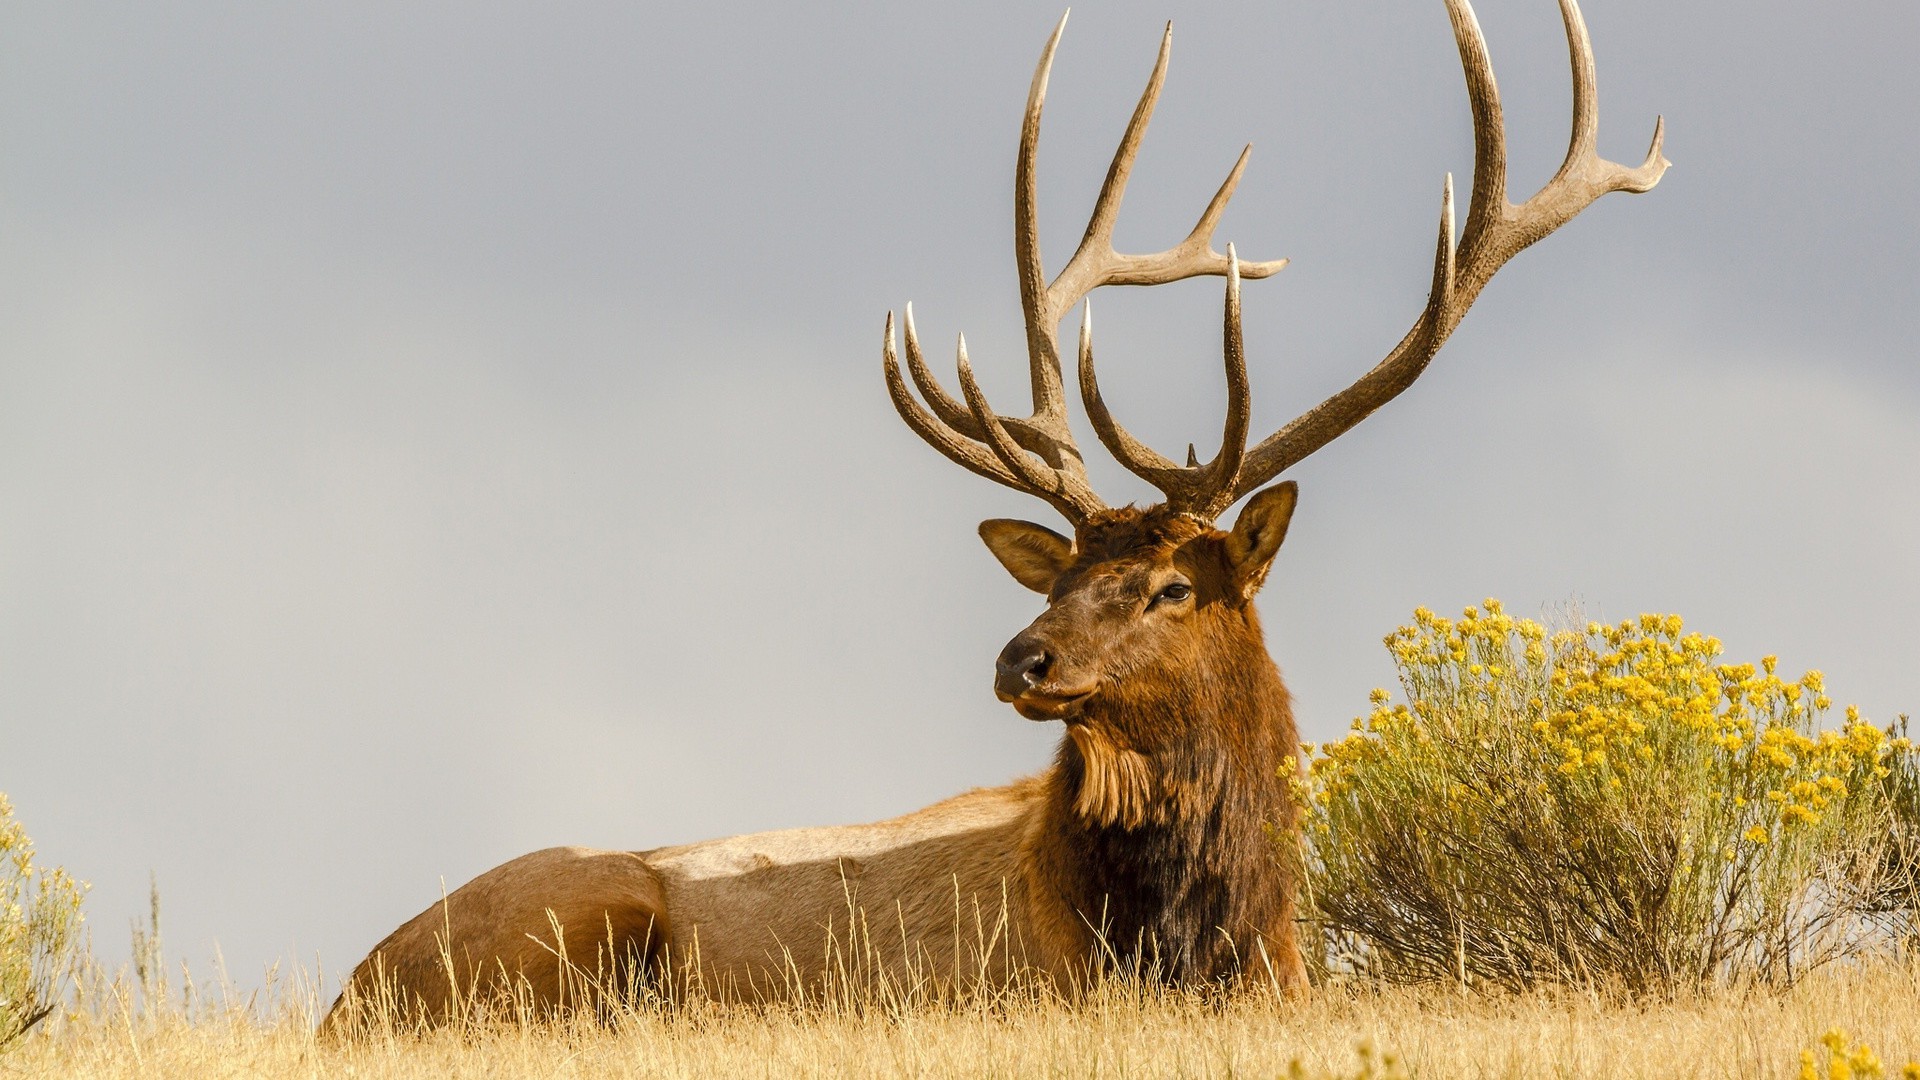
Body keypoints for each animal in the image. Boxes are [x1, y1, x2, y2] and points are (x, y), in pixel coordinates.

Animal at [330, 0, 1666, 1022]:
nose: (1022, 659)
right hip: (581, 914)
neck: (1202, 940)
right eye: (1060, 573)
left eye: (1173, 584)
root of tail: (350, 988)